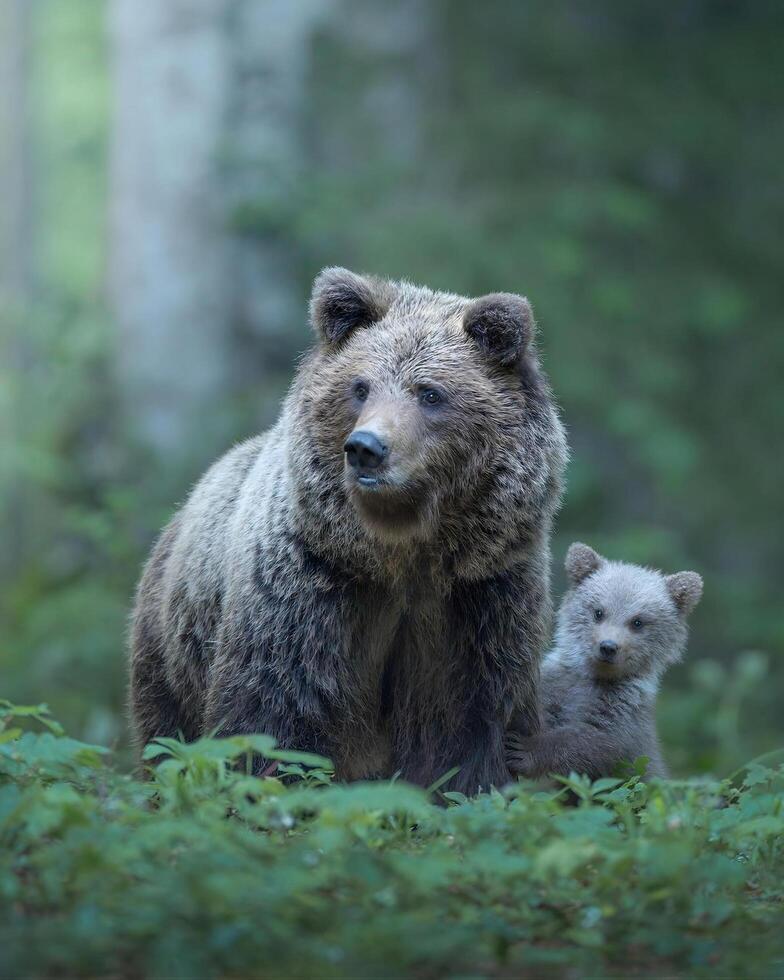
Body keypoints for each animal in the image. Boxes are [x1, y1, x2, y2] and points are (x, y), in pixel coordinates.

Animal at [132, 268, 568, 796]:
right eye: (361, 387)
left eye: (430, 393)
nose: (366, 447)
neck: (403, 553)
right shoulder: (310, 585)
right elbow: (271, 717)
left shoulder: (481, 595)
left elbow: (469, 726)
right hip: (171, 644)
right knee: (166, 736)